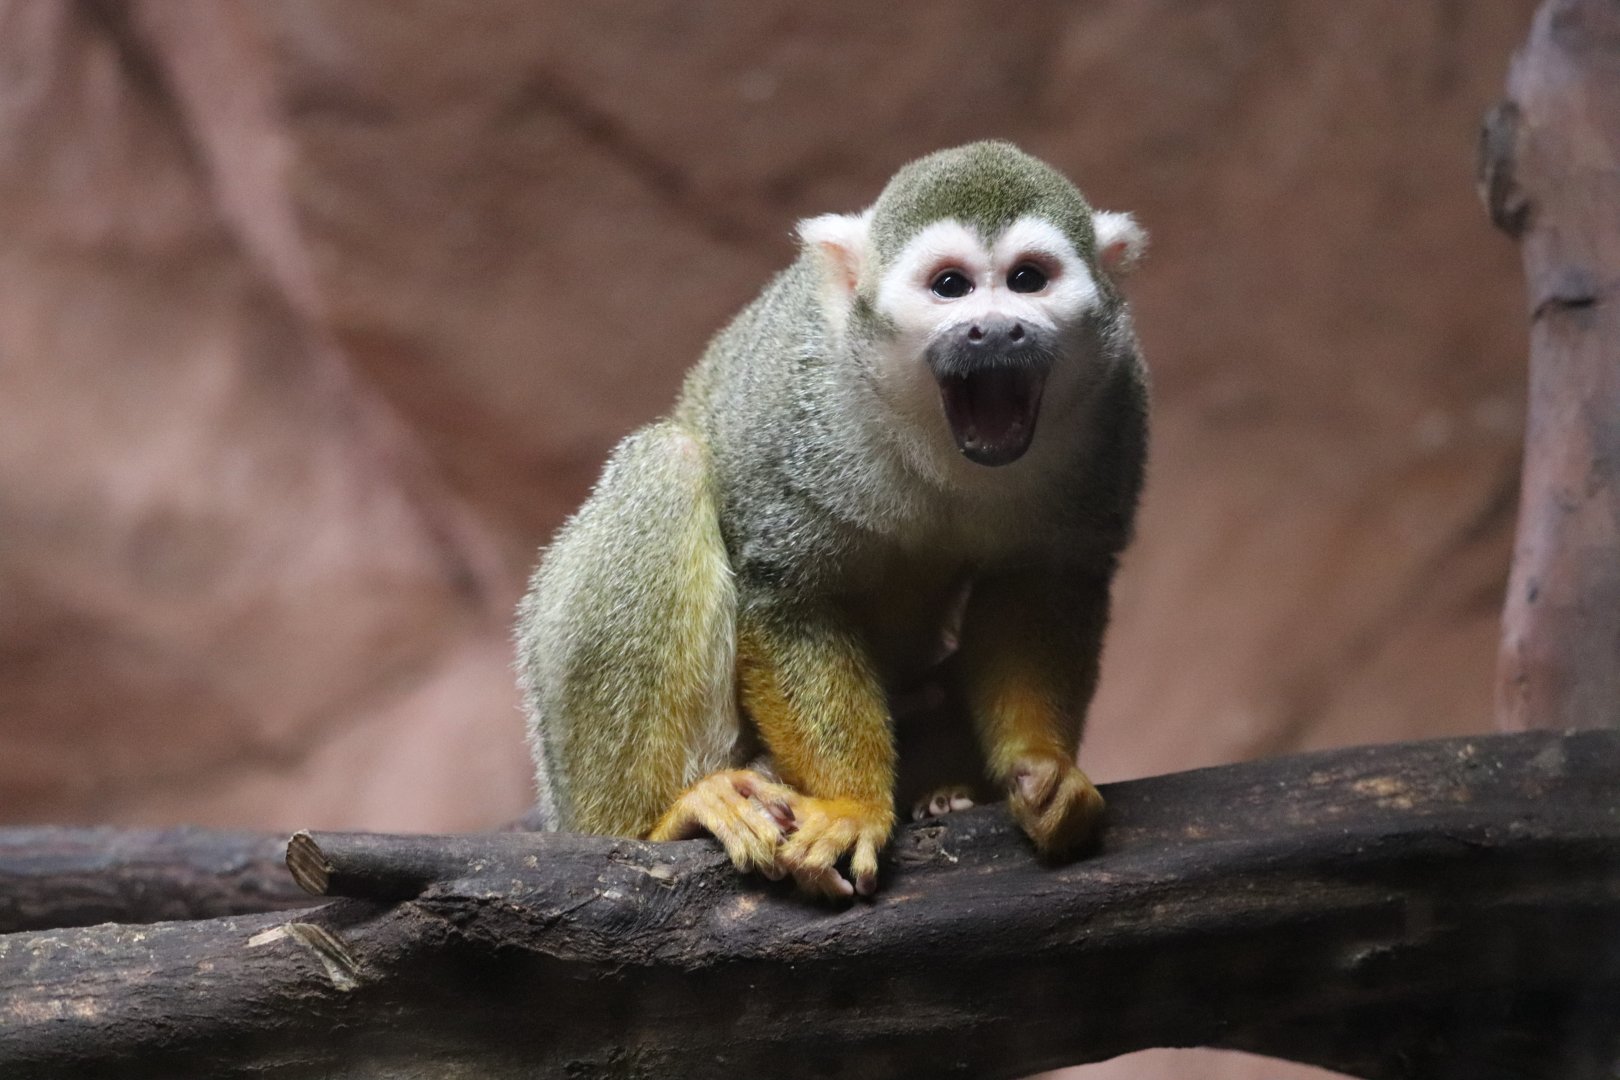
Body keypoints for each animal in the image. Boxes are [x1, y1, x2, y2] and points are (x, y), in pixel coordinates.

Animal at [517, 141, 1148, 899]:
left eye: (1028, 280)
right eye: (951, 287)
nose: (994, 329)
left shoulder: (1116, 399)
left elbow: (1044, 582)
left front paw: (1044, 771)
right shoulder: (803, 401)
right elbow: (790, 593)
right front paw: (852, 805)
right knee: (667, 465)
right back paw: (662, 819)